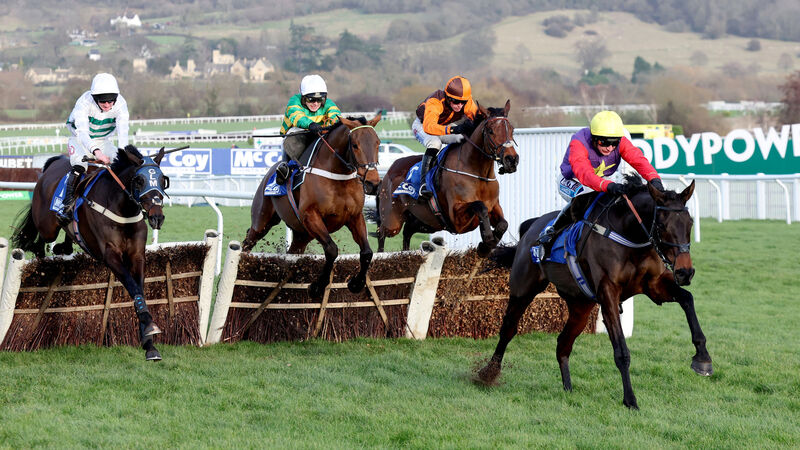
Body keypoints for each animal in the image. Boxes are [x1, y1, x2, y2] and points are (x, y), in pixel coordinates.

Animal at [12, 145, 170, 361]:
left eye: (163, 180)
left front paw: (149, 342)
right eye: (139, 180)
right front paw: (149, 328)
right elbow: (132, 285)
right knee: (39, 239)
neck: (123, 210)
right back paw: (41, 252)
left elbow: (138, 289)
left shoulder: (137, 256)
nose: (157, 217)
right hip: (46, 225)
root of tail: (55, 162)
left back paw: (64, 247)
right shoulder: (110, 255)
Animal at [242, 114, 382, 299]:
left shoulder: (354, 216)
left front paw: (356, 283)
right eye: (355, 145)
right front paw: (317, 286)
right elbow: (331, 249)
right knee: (247, 243)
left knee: (292, 252)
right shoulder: (311, 216)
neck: (338, 177)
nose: (373, 183)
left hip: (302, 235)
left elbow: (367, 252)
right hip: (262, 221)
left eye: (378, 143)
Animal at [375, 100, 518, 257]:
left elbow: (503, 224)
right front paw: (487, 239)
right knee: (381, 233)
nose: (512, 159)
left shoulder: (494, 207)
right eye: (491, 131)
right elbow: (480, 206)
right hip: (392, 221)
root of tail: (387, 173)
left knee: (407, 231)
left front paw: (487, 244)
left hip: (427, 221)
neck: (479, 174)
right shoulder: (456, 217)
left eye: (512, 130)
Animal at [476, 176, 712, 409]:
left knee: (563, 343)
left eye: (690, 223)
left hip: (580, 306)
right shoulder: (608, 293)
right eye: (662, 224)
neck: (630, 236)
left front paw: (702, 358)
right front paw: (630, 400)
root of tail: (532, 226)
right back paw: (488, 374)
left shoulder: (654, 285)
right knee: (508, 329)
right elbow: (622, 352)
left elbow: (687, 299)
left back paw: (568, 389)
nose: (685, 272)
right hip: (523, 289)